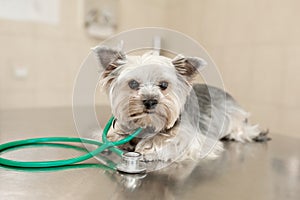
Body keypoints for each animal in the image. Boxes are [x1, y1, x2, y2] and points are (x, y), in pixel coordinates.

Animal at [92, 45, 270, 162]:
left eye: (164, 85)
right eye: (133, 84)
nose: (150, 101)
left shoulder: (192, 138)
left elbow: (171, 140)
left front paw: (149, 146)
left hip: (236, 120)